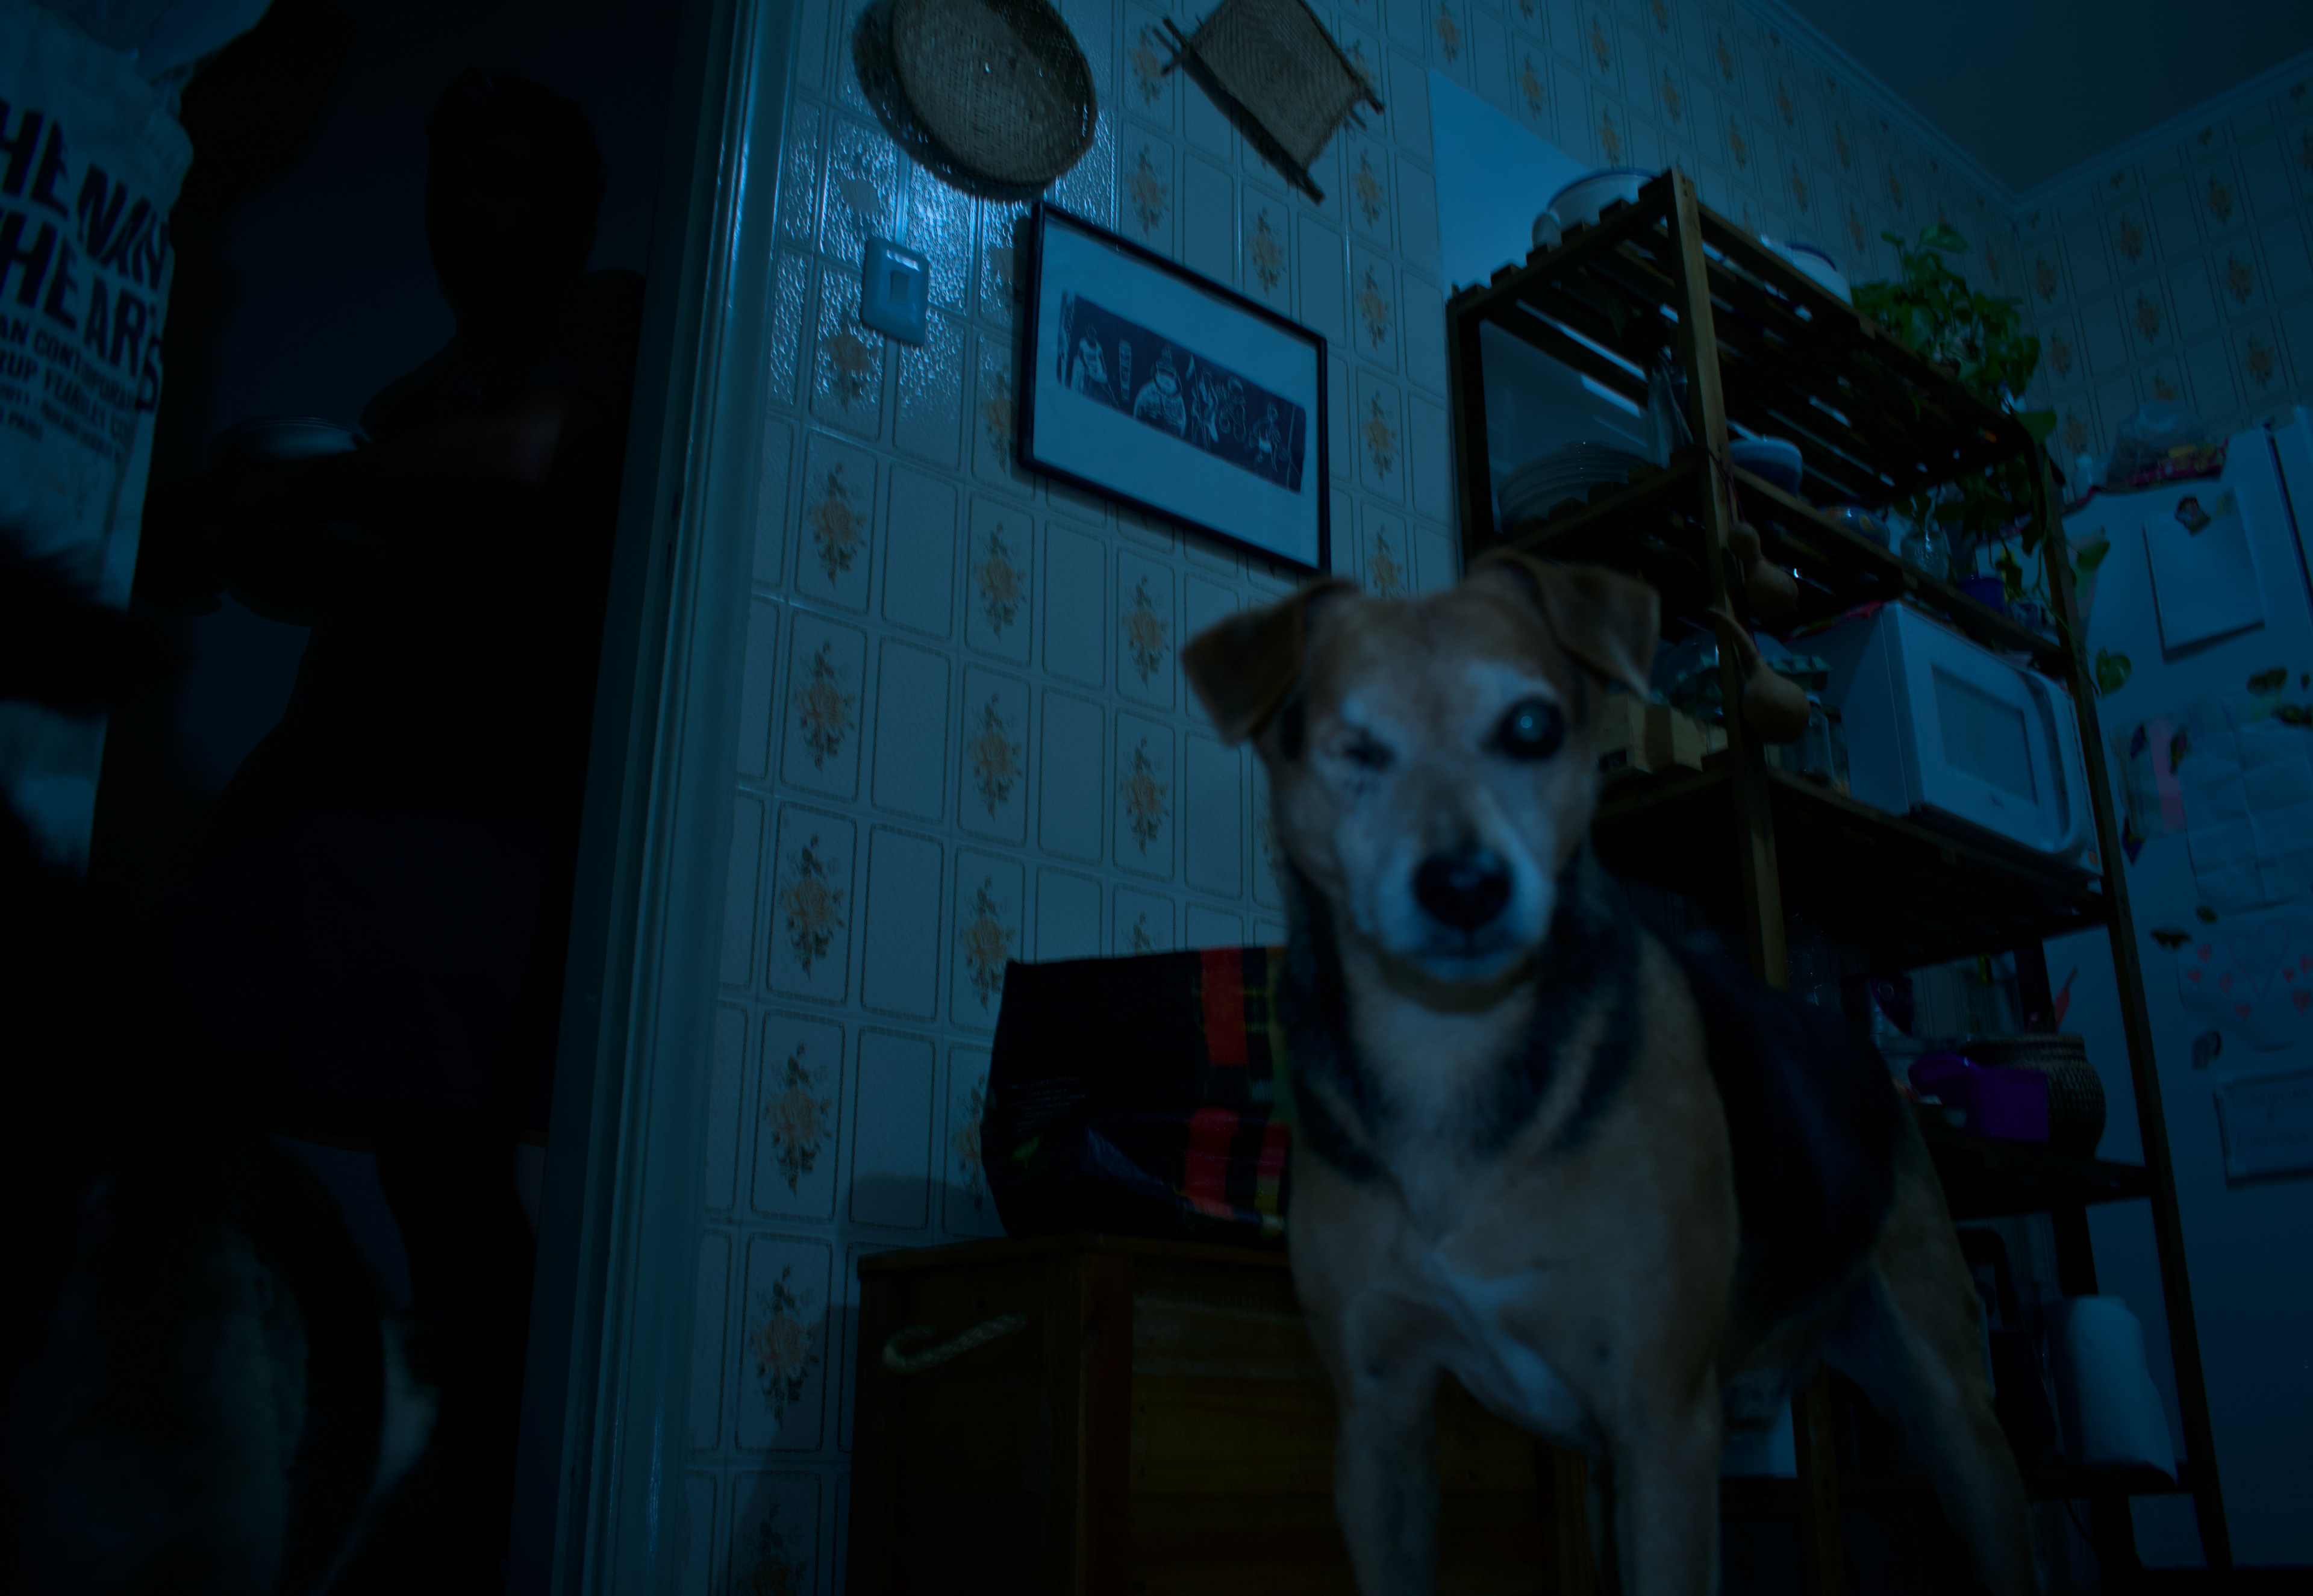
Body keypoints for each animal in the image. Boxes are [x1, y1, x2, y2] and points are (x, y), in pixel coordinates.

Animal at [1181, 552, 2033, 1596]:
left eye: (1532, 726)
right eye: (1354, 745)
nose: (1466, 887)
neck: (1449, 1049)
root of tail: (1856, 1042)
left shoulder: (1662, 1424)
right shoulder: (1379, 1429)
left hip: (1956, 1421)